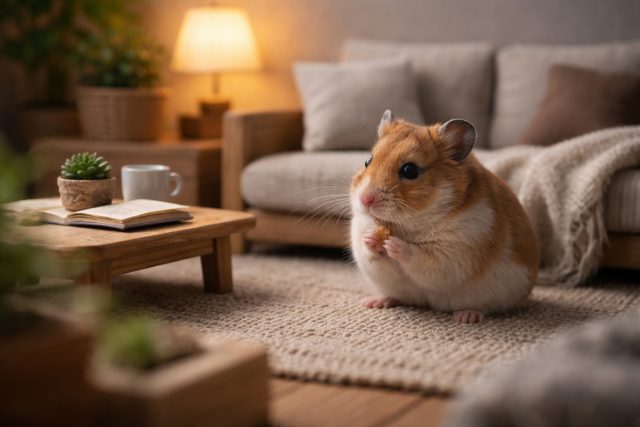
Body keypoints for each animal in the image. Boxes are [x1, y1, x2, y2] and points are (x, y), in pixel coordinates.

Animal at [350, 110, 539, 323]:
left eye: (410, 170)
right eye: (367, 161)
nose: (365, 199)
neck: (407, 225)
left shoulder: (454, 254)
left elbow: (419, 256)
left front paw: (393, 244)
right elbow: (373, 254)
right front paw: (371, 239)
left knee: (485, 308)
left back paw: (466, 316)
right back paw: (374, 302)